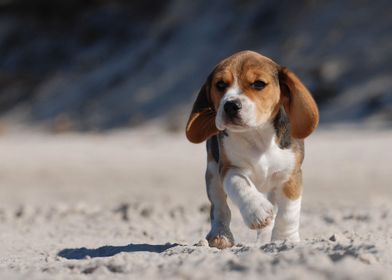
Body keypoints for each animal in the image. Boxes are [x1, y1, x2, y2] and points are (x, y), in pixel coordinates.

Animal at [185, 50, 318, 249]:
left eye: (258, 84)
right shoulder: (228, 168)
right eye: (220, 85)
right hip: (212, 175)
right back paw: (220, 235)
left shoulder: (291, 174)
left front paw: (285, 239)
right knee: (219, 208)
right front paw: (257, 211)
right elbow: (240, 185)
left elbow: (288, 211)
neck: (258, 135)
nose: (230, 105)